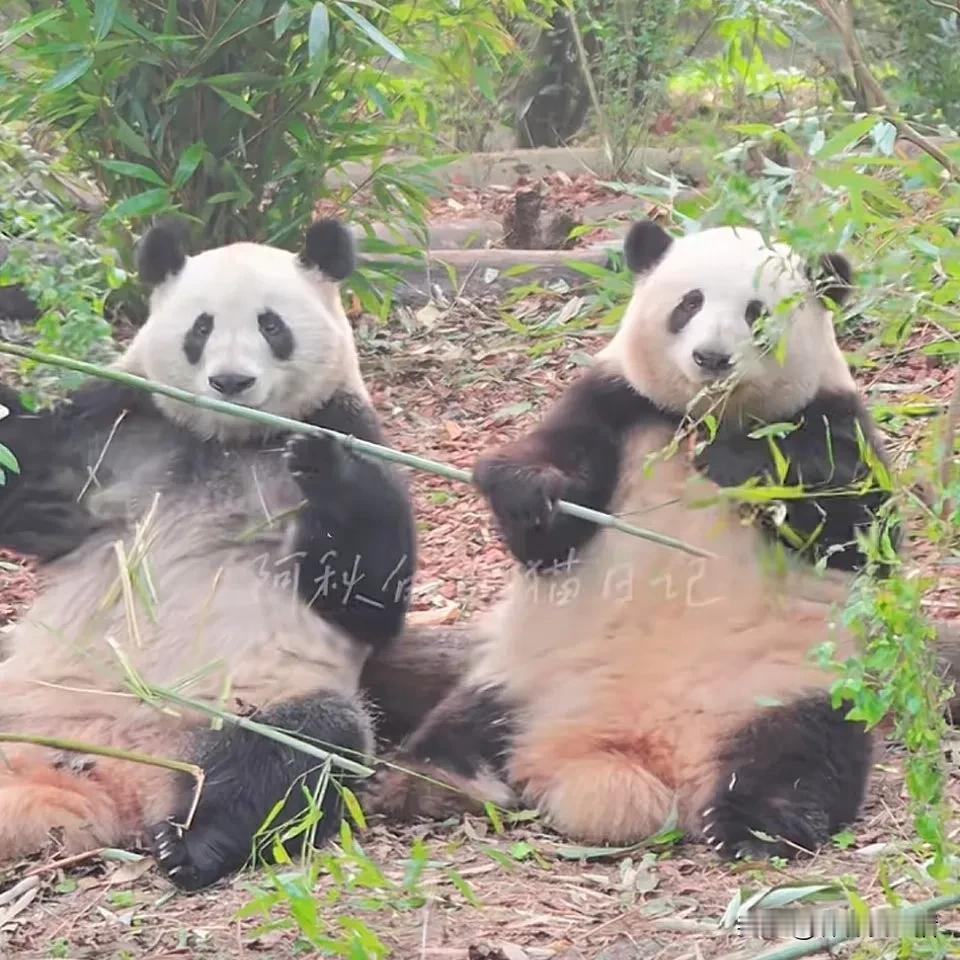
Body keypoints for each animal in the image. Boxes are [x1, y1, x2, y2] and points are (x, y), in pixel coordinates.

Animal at [0, 219, 420, 892]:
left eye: (272, 325)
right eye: (201, 328)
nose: (231, 383)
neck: (229, 437)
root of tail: (116, 780)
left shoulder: (351, 427)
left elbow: (369, 595)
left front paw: (324, 465)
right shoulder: (121, 425)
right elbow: (29, 493)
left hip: (238, 706)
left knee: (299, 748)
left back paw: (194, 844)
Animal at [366, 219, 900, 864]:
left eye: (756, 313)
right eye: (689, 303)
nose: (711, 357)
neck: (704, 415)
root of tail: (637, 746)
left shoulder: (829, 417)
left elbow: (860, 528)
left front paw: (738, 463)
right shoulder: (616, 404)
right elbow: (551, 517)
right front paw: (529, 494)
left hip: (777, 687)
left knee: (800, 753)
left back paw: (759, 823)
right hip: (527, 674)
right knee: (468, 723)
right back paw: (428, 784)